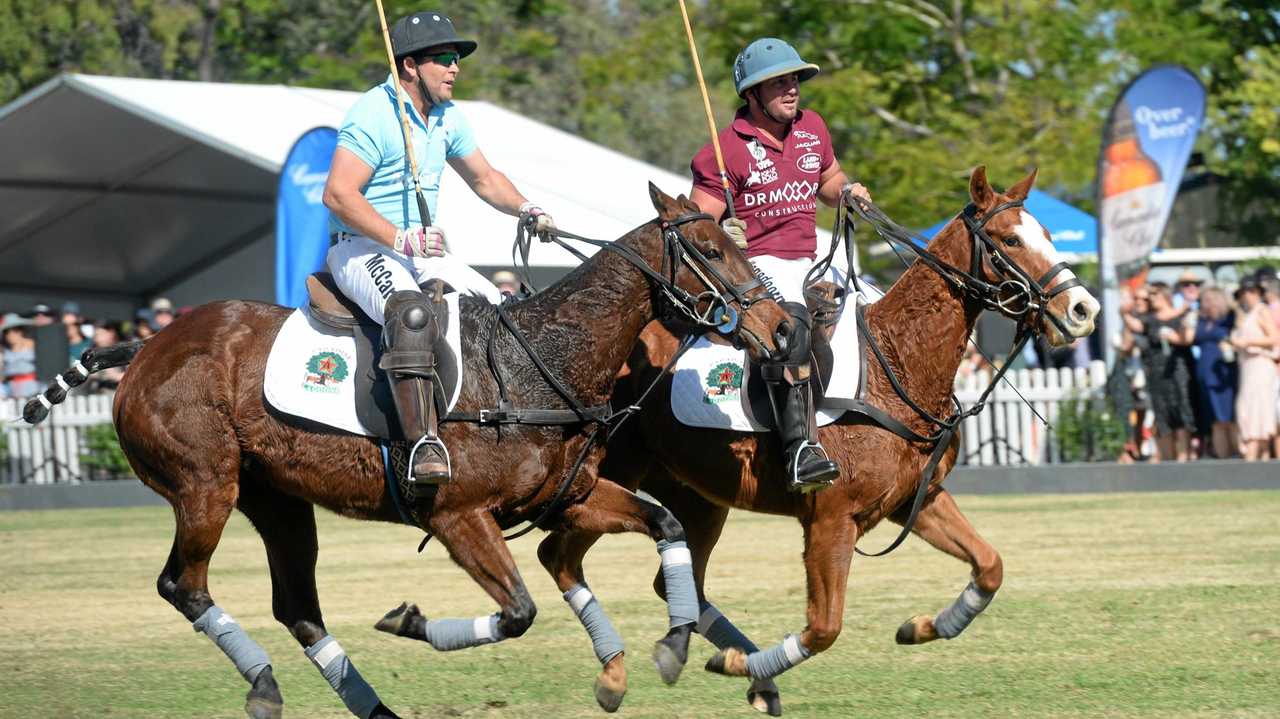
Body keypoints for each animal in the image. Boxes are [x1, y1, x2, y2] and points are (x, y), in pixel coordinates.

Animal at [24, 185, 788, 716]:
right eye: (711, 251)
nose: (782, 328)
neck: (536, 362)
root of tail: (146, 344)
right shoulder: (458, 515)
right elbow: (518, 612)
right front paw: (409, 619)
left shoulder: (567, 495)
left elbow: (664, 523)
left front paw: (674, 645)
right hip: (205, 482)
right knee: (183, 585)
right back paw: (264, 682)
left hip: (277, 500)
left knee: (297, 605)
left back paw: (369, 707)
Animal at [537, 166, 1100, 711]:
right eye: (1010, 239)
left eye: (1049, 235)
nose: (1084, 310)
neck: (897, 363)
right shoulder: (831, 519)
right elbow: (824, 627)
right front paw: (740, 665)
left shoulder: (917, 499)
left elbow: (990, 566)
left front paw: (922, 627)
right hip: (602, 479)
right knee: (558, 556)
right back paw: (622, 674)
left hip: (696, 497)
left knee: (668, 576)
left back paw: (732, 672)